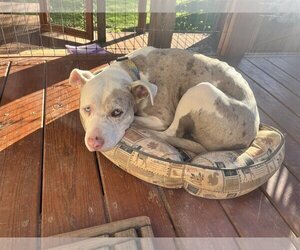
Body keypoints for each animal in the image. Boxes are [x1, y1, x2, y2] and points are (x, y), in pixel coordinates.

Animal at [69, 46, 258, 153]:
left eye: (117, 112)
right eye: (87, 109)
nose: (94, 142)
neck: (133, 69)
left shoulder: (161, 118)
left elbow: (136, 119)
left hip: (202, 90)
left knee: (170, 134)